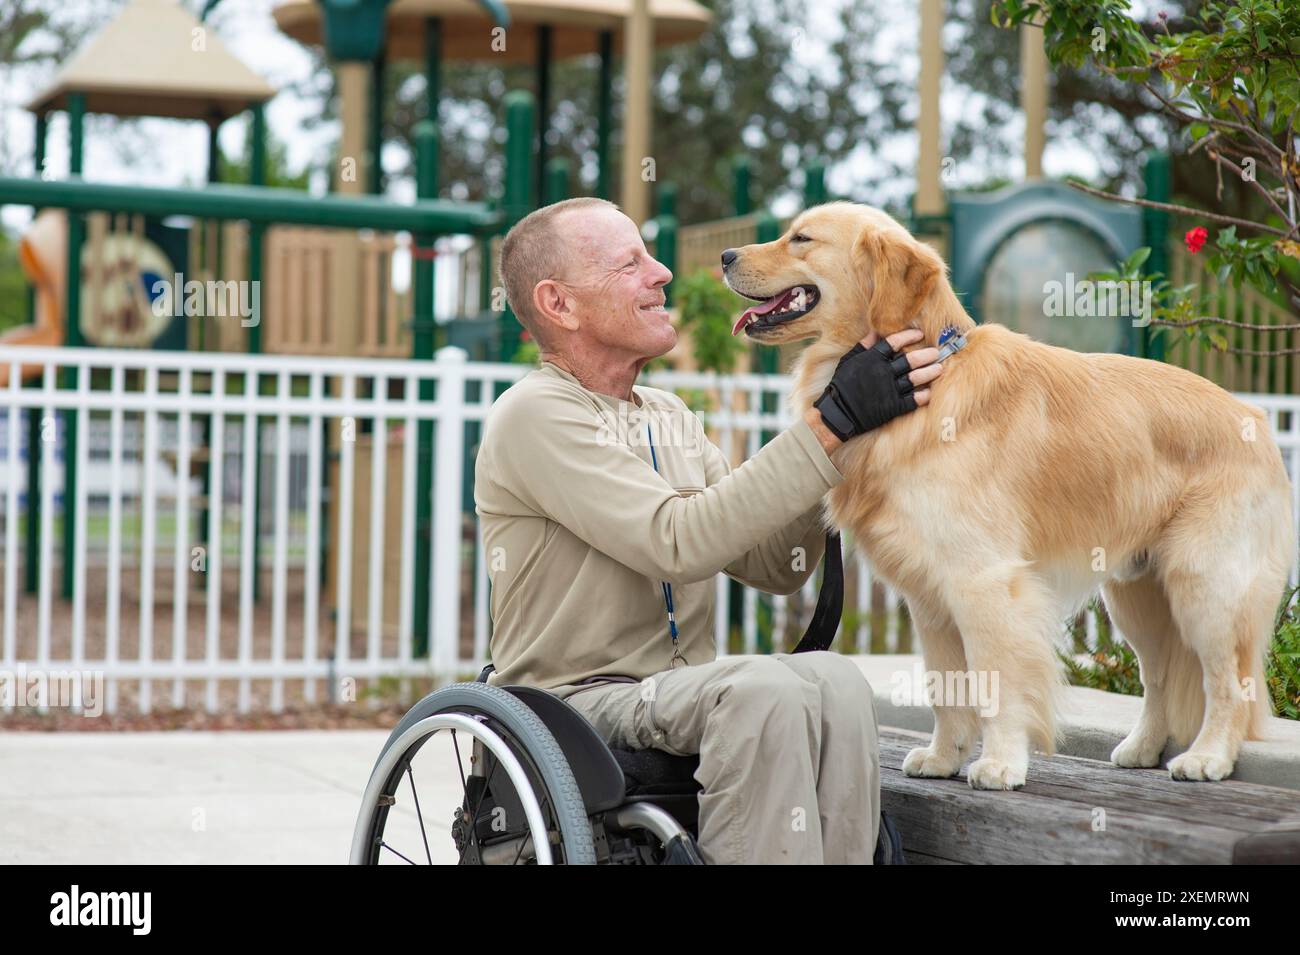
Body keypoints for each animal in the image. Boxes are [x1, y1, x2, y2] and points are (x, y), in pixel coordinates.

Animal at [722, 203, 1289, 789]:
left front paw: (999, 763)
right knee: (1159, 677)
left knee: (1228, 683)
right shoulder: (929, 596)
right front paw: (944, 756)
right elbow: (946, 686)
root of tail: (1257, 421)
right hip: (1140, 599)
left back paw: (1208, 756)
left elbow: (995, 682)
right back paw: (1143, 748)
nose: (725, 255)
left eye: (802, 239)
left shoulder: (983, 581)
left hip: (1205, 589)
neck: (923, 377)